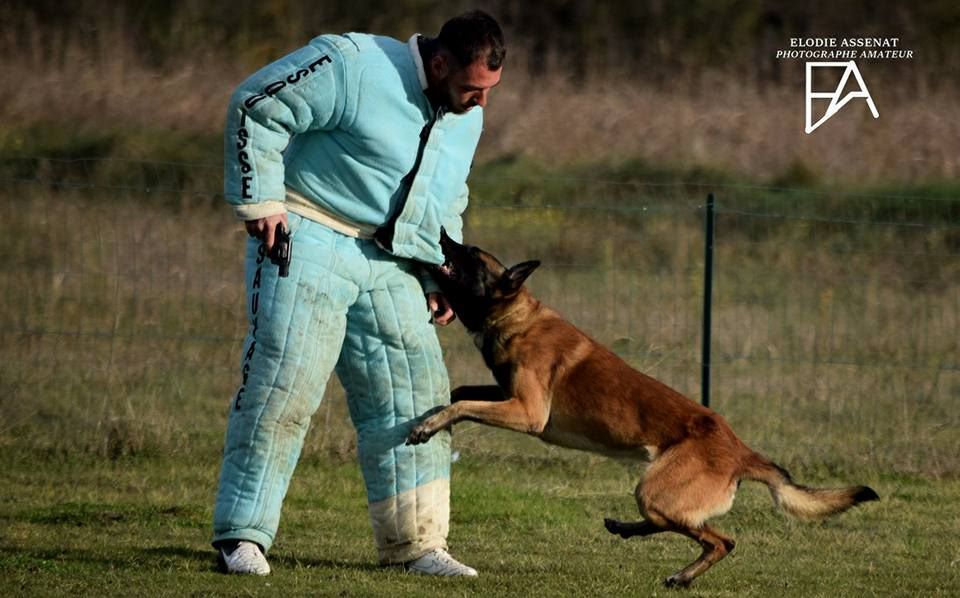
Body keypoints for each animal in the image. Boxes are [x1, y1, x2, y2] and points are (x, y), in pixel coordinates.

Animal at [404, 231, 876, 592]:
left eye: (468, 254)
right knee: (683, 527)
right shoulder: (507, 395)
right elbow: (462, 393)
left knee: (720, 540)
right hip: (657, 495)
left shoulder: (529, 413)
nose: (442, 234)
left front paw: (427, 426)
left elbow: (464, 403)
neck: (514, 315)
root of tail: (741, 450)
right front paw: (432, 416)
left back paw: (681, 576)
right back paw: (628, 531)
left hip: (655, 491)